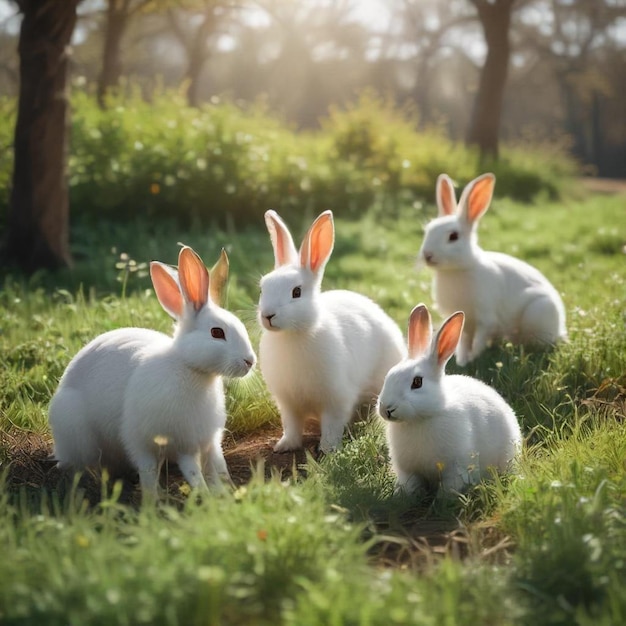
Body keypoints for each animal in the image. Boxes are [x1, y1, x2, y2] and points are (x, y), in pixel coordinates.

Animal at [47, 246, 255, 500]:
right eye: (217, 333)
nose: (250, 361)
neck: (189, 368)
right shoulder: (143, 440)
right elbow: (155, 470)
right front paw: (154, 500)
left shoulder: (202, 442)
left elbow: (213, 467)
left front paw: (222, 493)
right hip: (77, 433)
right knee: (80, 466)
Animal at [256, 211, 402, 454]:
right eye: (262, 288)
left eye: (297, 292)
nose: (268, 315)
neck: (295, 333)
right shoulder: (288, 403)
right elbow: (292, 426)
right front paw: (284, 446)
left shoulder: (336, 400)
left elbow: (332, 426)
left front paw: (327, 450)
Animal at [378, 300, 520, 494]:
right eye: (388, 375)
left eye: (417, 382)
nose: (387, 409)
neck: (421, 419)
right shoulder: (408, 472)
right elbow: (411, 486)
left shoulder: (456, 469)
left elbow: (449, 488)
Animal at [416, 172, 568, 366]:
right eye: (428, 230)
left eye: (453, 236)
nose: (427, 255)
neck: (458, 269)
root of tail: (560, 327)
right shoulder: (464, 323)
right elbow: (463, 341)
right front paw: (462, 361)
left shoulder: (485, 319)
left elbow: (479, 340)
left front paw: (473, 358)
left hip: (539, 311)